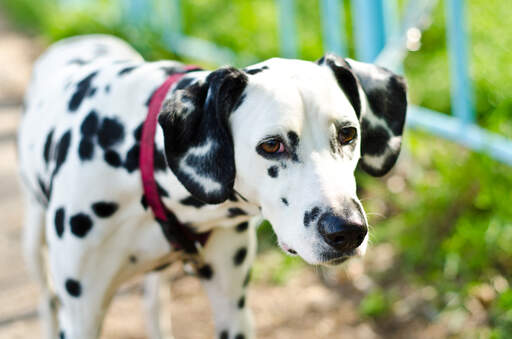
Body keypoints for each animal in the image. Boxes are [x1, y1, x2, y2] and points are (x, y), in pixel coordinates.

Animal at [18, 35, 406, 339]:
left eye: (348, 134)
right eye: (271, 145)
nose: (347, 231)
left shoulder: (233, 307)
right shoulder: (82, 316)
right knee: (46, 301)